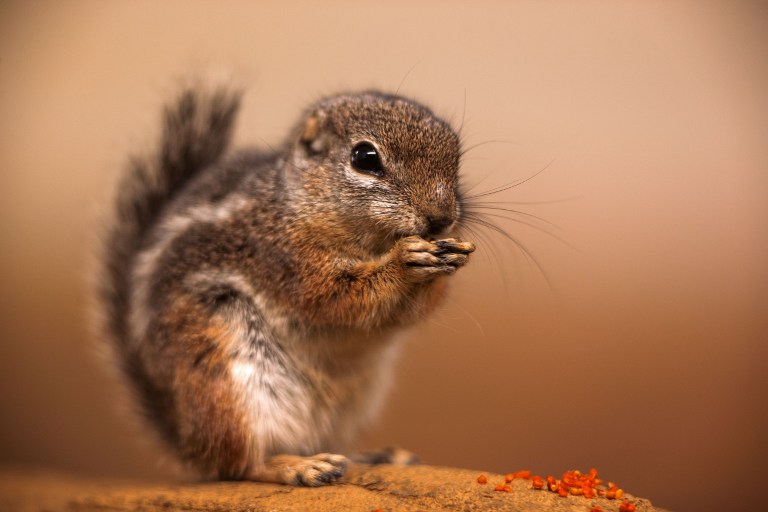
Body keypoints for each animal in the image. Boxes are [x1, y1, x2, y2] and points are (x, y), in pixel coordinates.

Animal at [97, 86, 474, 486]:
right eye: (365, 157)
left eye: (456, 155)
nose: (440, 219)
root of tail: (187, 441)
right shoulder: (284, 259)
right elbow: (335, 297)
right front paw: (405, 261)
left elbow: (406, 313)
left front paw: (450, 256)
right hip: (228, 384)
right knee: (239, 465)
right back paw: (298, 466)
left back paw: (373, 456)